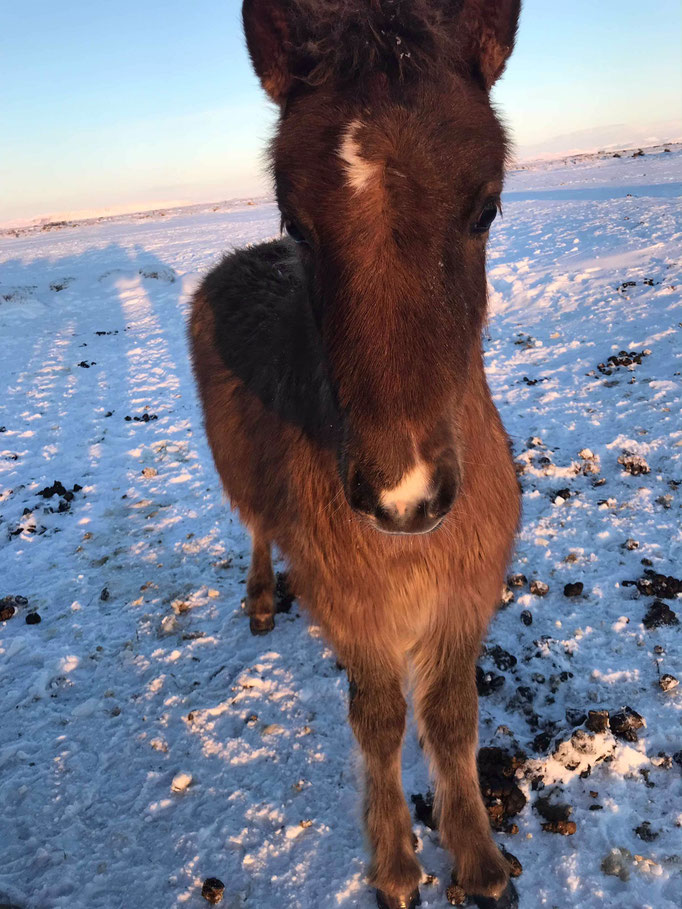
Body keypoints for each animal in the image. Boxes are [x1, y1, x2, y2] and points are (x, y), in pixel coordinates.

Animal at [190, 3, 520, 904]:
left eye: (486, 207)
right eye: (296, 222)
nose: (404, 498)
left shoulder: (462, 601)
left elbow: (451, 719)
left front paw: (478, 858)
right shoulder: (358, 613)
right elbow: (378, 723)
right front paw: (397, 864)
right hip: (244, 487)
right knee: (257, 527)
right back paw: (261, 601)